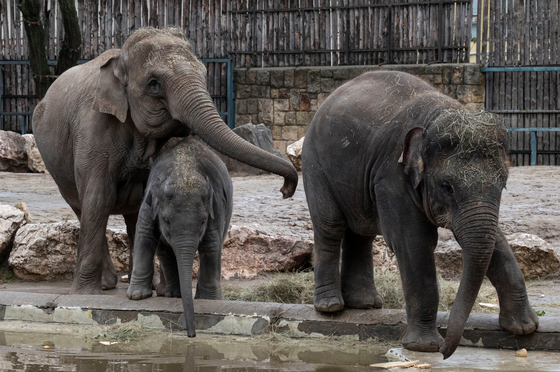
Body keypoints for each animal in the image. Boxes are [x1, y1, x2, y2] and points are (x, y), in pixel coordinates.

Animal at [33, 27, 298, 294]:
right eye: (153, 83)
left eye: (204, 74)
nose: (285, 190)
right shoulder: (92, 130)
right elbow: (99, 199)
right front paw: (85, 293)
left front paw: (165, 292)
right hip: (60, 171)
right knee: (83, 207)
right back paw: (107, 284)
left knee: (134, 214)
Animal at [127, 136, 232, 338]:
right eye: (166, 221)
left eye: (202, 221)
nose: (191, 335)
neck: (184, 171)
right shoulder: (149, 200)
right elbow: (144, 234)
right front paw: (136, 296)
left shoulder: (216, 205)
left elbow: (211, 244)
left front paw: (210, 300)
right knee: (164, 251)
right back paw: (173, 294)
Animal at [302, 71, 540, 358]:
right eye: (447, 186)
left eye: (503, 184)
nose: (446, 352)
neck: (437, 117)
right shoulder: (391, 176)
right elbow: (413, 242)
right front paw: (424, 347)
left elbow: (494, 238)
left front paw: (525, 329)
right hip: (314, 163)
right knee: (331, 225)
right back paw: (330, 307)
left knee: (361, 231)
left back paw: (366, 304)